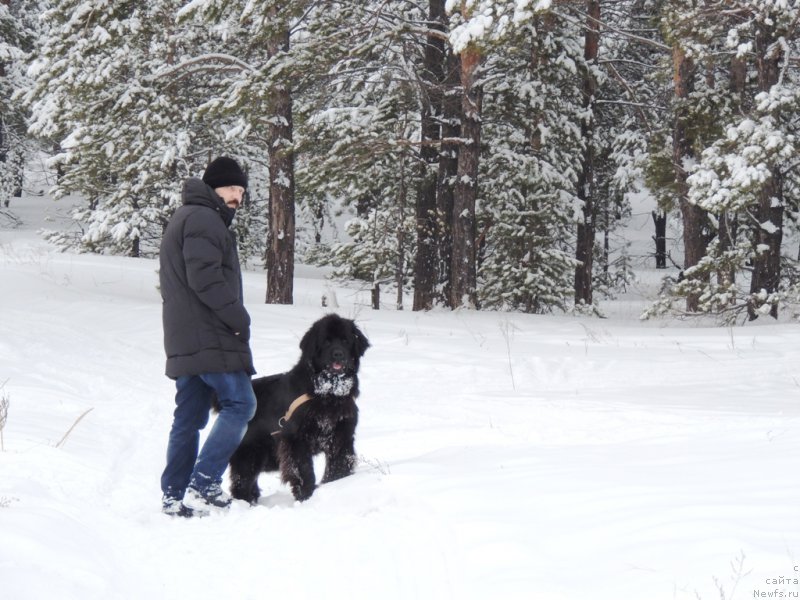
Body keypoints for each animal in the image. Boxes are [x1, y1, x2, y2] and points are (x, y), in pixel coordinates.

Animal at [228, 314, 368, 502]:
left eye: (346, 340)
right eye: (326, 342)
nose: (338, 354)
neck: (327, 395)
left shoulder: (341, 435)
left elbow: (338, 465)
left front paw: (335, 485)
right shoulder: (296, 439)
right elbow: (303, 469)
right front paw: (306, 495)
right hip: (251, 452)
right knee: (242, 480)